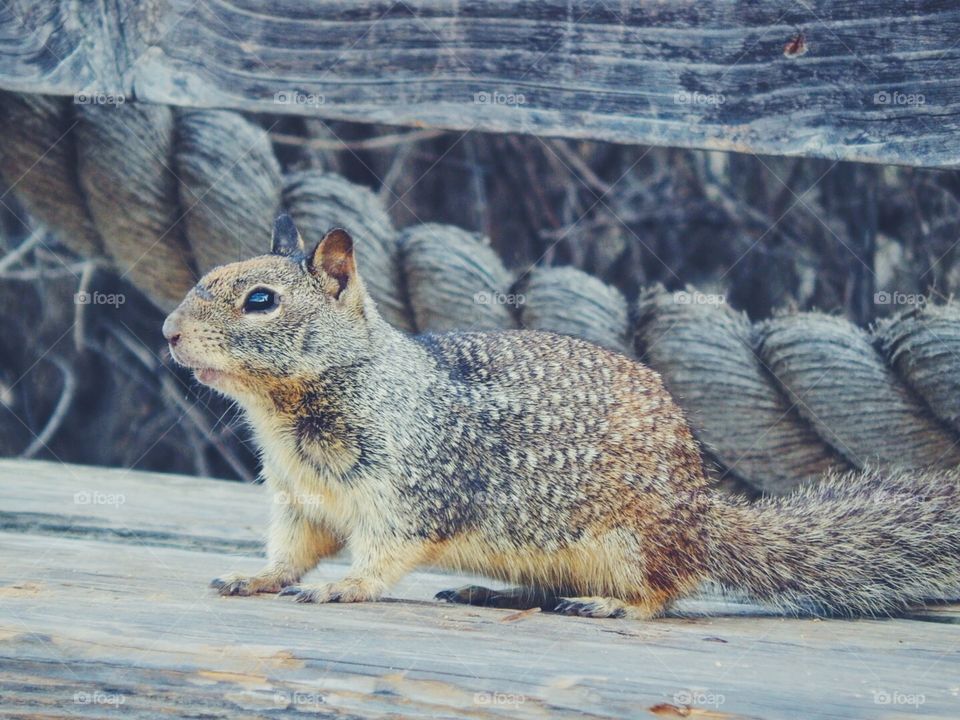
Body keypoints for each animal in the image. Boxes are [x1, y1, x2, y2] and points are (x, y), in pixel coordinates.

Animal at [163, 215, 960, 620]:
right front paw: (257, 577)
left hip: (632, 543)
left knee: (667, 593)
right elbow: (291, 551)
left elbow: (385, 552)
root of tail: (703, 519)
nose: (168, 332)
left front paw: (346, 586)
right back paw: (489, 589)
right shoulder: (300, 501)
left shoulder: (413, 487)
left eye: (260, 300)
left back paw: (608, 606)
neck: (292, 408)